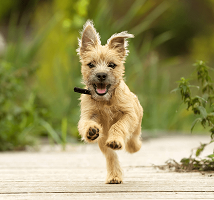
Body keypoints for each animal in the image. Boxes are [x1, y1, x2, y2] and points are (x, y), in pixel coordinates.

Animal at [76, 20, 143, 184]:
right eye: (91, 64)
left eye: (112, 65)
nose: (101, 75)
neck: (105, 100)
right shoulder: (88, 115)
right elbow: (86, 123)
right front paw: (91, 130)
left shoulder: (129, 114)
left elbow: (119, 126)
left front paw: (116, 140)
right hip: (102, 142)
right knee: (111, 156)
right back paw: (114, 176)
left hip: (137, 123)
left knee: (133, 139)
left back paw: (132, 146)